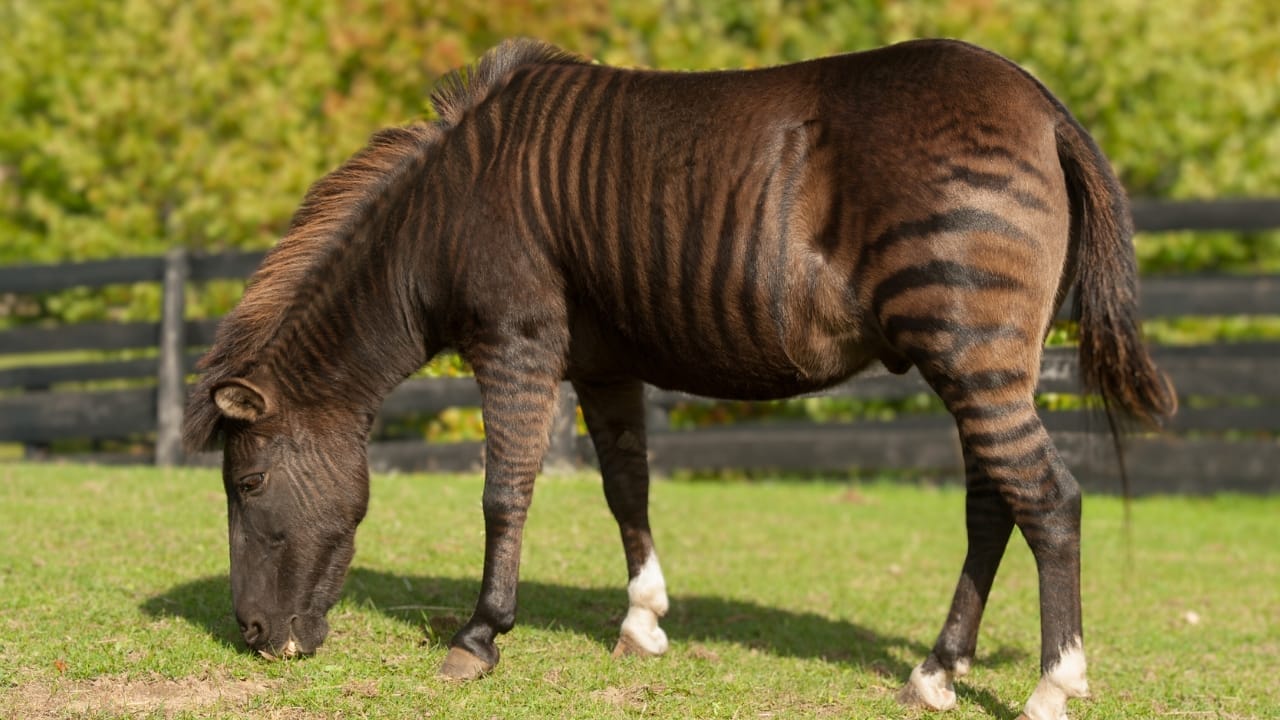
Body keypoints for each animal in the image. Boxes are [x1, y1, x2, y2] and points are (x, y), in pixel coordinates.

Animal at [184, 38, 1174, 719]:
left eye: (248, 482)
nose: (255, 640)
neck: (445, 212)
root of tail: (1041, 105)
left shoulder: (515, 342)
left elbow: (506, 491)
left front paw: (477, 637)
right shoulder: (602, 362)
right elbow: (627, 486)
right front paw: (642, 620)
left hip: (970, 349)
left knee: (1048, 500)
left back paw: (1054, 685)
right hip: (987, 360)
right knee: (992, 504)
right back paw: (935, 672)